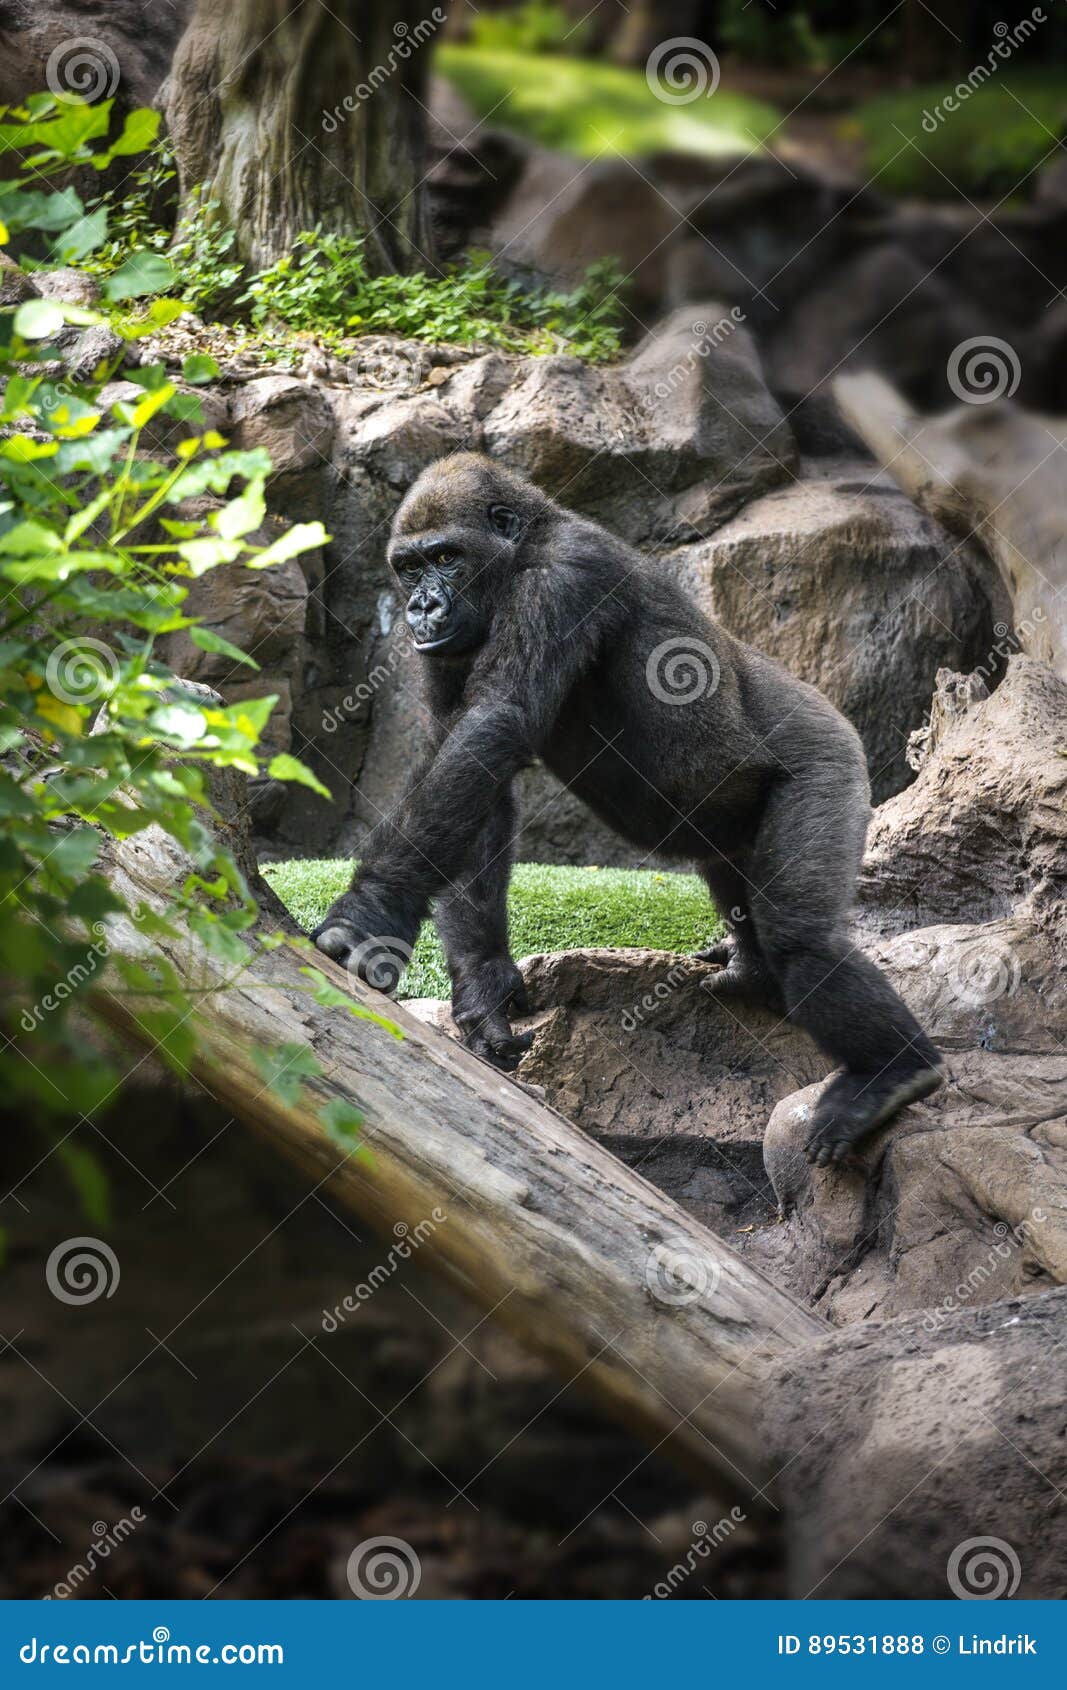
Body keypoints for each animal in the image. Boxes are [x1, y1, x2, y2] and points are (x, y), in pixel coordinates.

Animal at [313, 453, 942, 1166]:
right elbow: (477, 772)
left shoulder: (565, 577)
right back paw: (752, 973)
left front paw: (369, 913)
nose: (421, 606)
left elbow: (493, 725)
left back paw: (894, 1072)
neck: (522, 546)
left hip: (829, 758)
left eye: (446, 558)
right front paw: (483, 990)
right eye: (411, 567)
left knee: (803, 938)